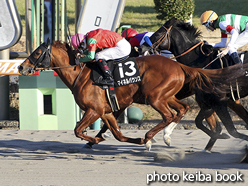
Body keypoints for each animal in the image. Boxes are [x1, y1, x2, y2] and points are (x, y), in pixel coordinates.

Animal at [17, 40, 246, 150]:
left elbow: (77, 130)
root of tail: (178, 65)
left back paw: (151, 136)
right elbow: (117, 134)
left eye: (37, 53)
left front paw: (95, 140)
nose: (21, 66)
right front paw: (100, 139)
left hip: (155, 96)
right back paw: (164, 136)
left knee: (170, 115)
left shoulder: (94, 110)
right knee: (182, 109)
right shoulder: (106, 111)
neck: (80, 74)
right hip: (167, 95)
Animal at [139, 18, 248, 150]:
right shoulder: (213, 102)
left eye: (158, 33)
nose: (141, 48)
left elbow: (229, 130)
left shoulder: (217, 102)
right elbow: (204, 124)